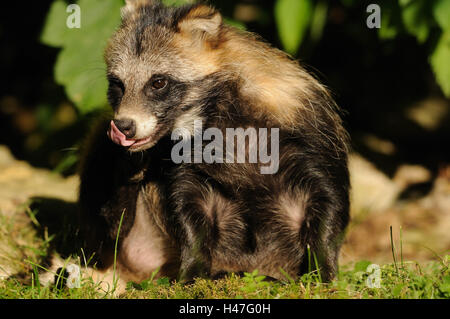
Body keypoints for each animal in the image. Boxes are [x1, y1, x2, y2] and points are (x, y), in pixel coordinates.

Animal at [75, 0, 350, 290]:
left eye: (158, 82)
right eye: (117, 84)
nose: (125, 126)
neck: (215, 117)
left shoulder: (309, 139)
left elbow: (328, 203)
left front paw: (322, 270)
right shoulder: (185, 162)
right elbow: (188, 212)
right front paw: (193, 271)